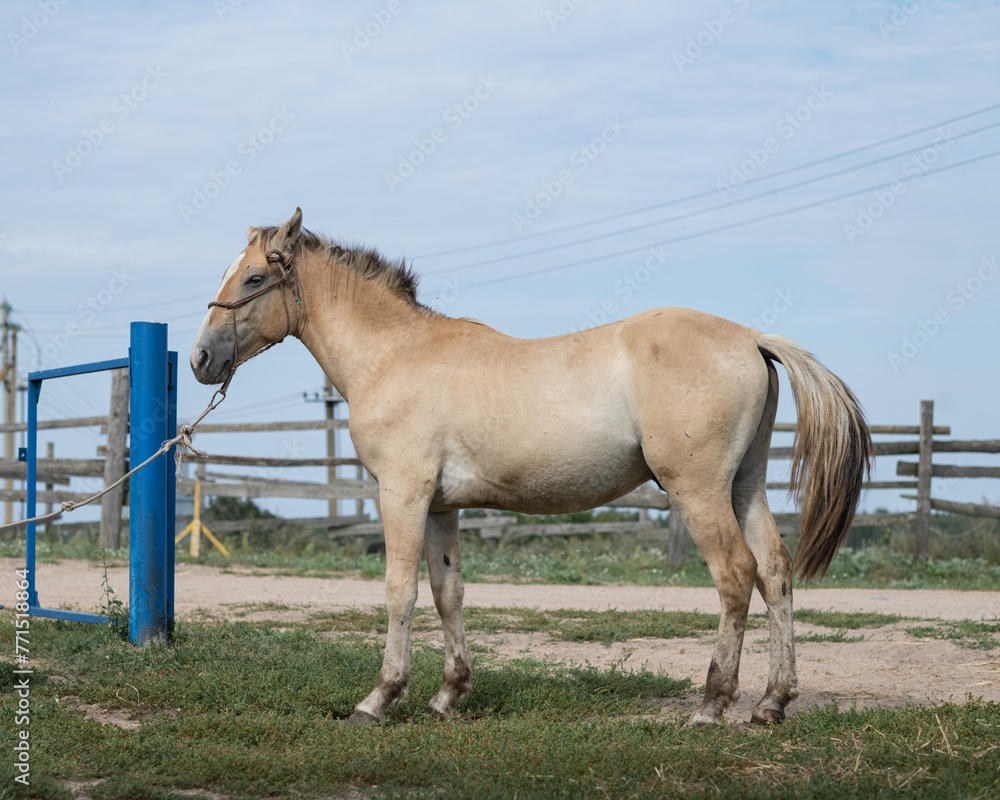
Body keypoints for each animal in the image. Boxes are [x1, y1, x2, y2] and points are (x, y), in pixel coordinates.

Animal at [191, 208, 873, 726]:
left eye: (254, 277)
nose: (199, 358)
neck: (395, 355)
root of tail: (751, 337)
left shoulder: (403, 495)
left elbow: (398, 592)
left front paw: (379, 699)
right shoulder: (441, 506)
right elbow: (447, 593)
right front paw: (447, 695)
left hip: (700, 492)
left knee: (735, 576)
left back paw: (711, 705)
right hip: (744, 487)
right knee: (775, 573)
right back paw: (770, 704)